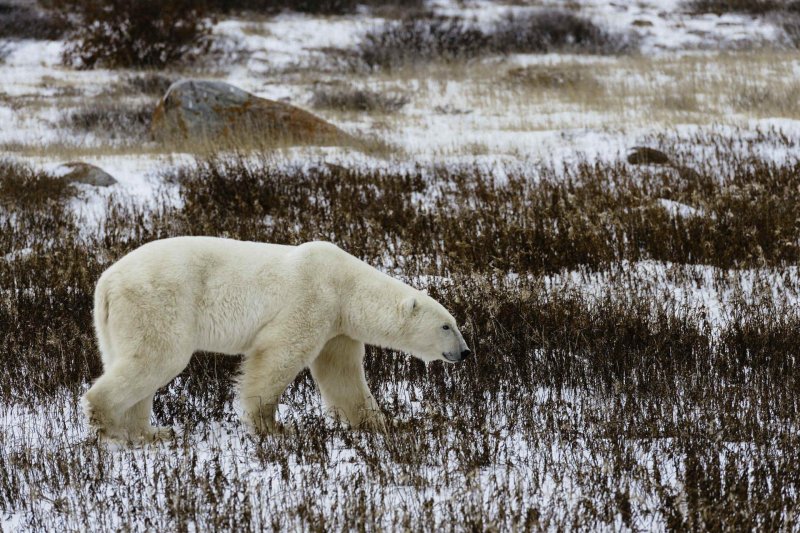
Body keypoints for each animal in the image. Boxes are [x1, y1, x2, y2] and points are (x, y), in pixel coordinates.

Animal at [81, 237, 468, 440]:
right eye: (447, 326)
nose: (464, 352)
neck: (346, 285)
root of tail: (107, 283)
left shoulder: (337, 326)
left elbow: (341, 374)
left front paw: (381, 423)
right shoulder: (312, 298)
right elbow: (278, 355)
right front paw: (273, 427)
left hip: (116, 323)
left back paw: (148, 433)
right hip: (158, 302)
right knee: (158, 357)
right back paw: (111, 427)